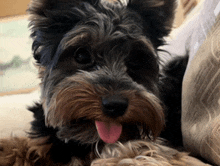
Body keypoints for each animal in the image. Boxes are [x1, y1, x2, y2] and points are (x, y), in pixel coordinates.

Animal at [0, 0, 187, 165]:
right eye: (82, 55)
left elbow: (137, 150)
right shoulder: (44, 142)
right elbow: (22, 145)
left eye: (135, 62)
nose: (115, 105)